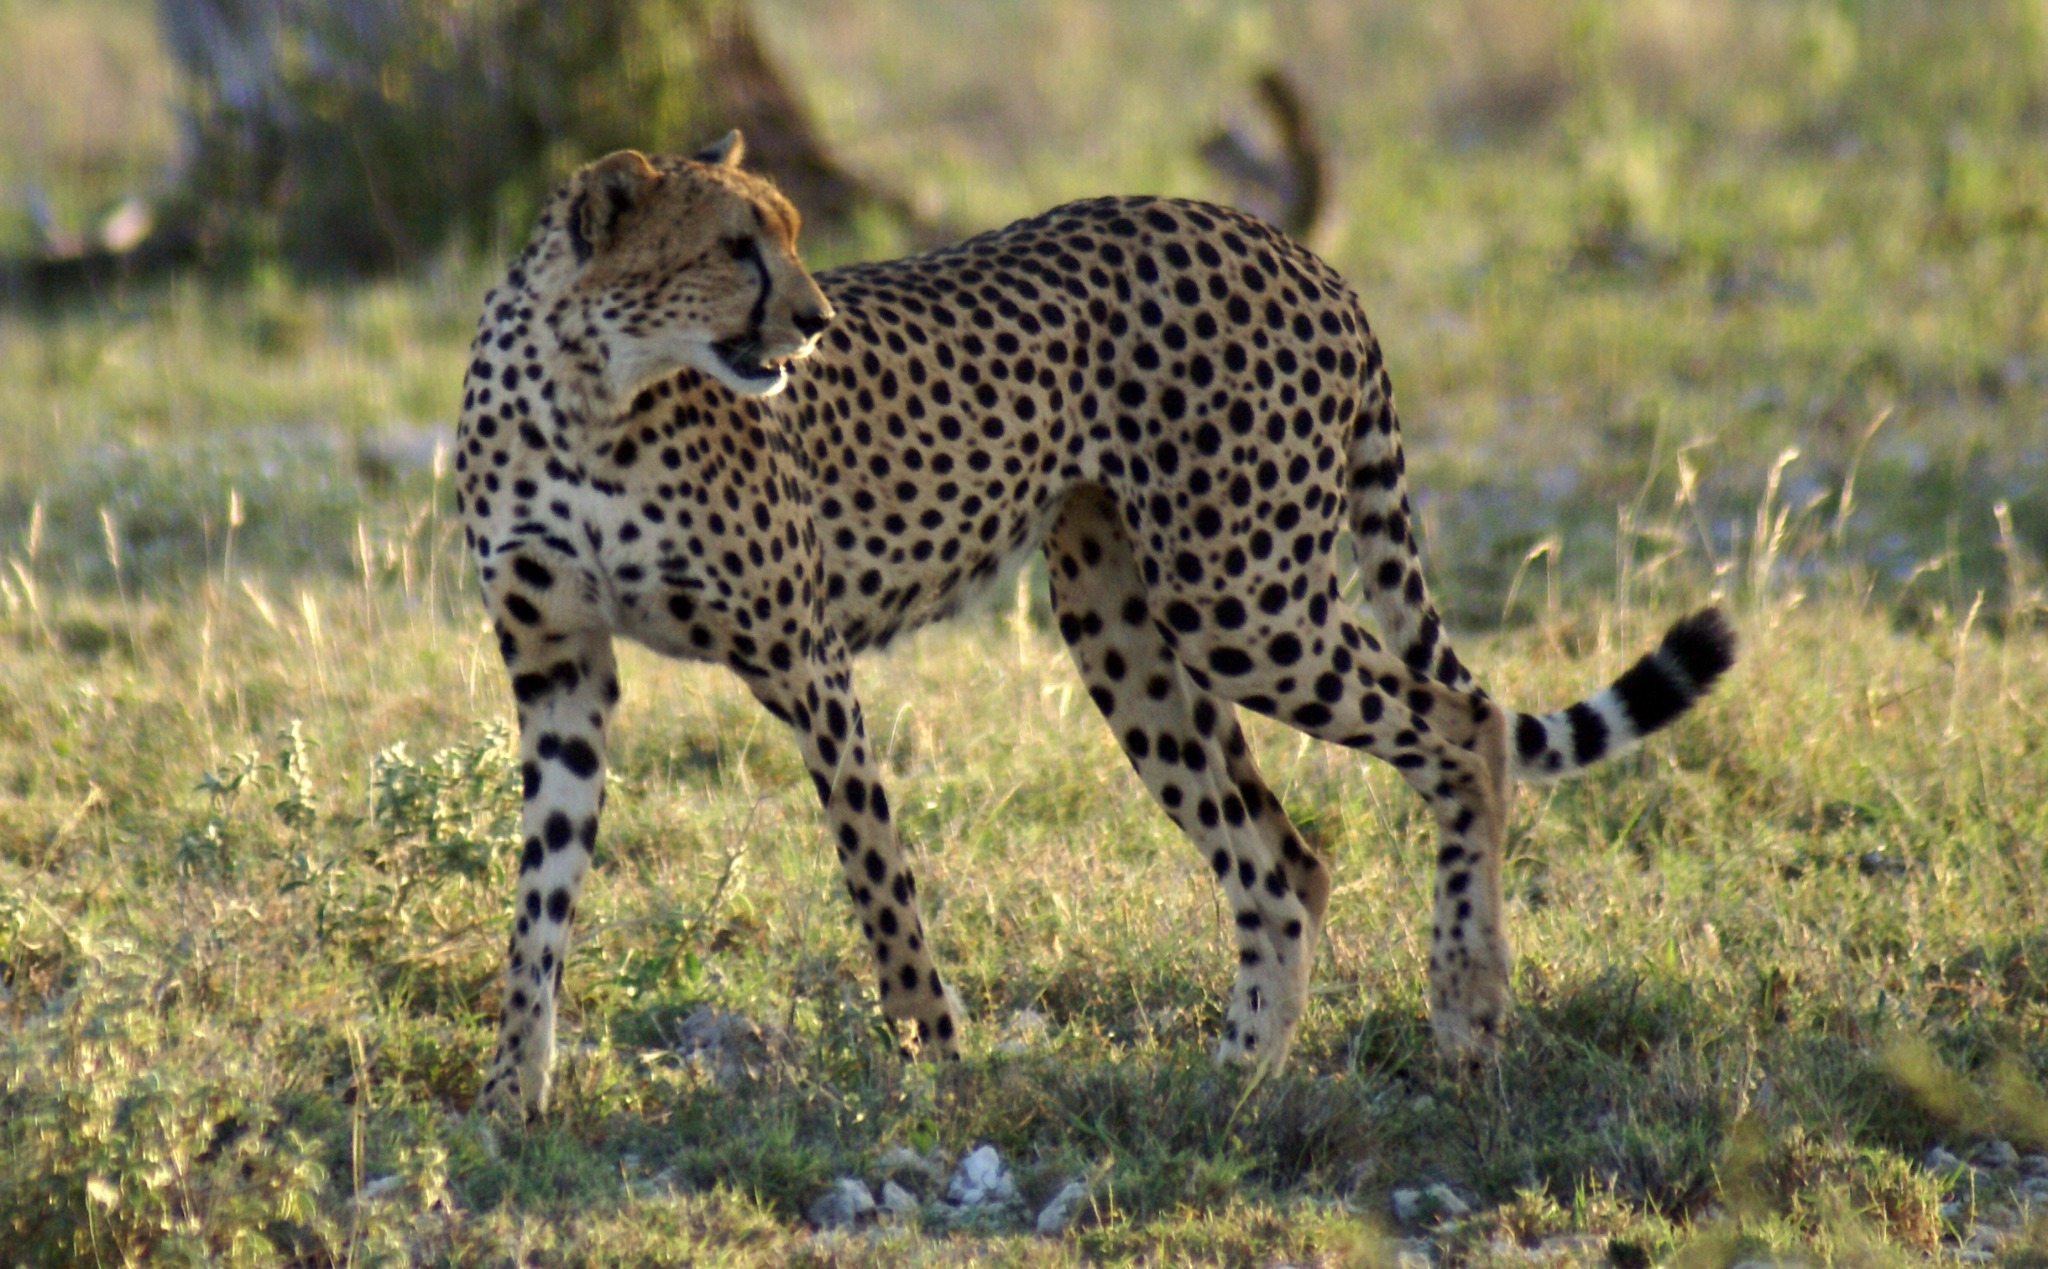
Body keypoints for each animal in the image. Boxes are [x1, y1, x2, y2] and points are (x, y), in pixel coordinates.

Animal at [454, 132, 1736, 1117]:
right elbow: (538, 903)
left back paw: (1464, 1011)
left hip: (1240, 597)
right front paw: (510, 1095)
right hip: (1124, 621)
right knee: (1283, 856)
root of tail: (1289, 245)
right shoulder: (560, 674)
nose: (813, 322)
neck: (590, 390)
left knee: (1462, 731)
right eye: (732, 246)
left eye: (792, 234)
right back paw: (1231, 1081)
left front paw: (932, 1066)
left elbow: (875, 877)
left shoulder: (805, 662)